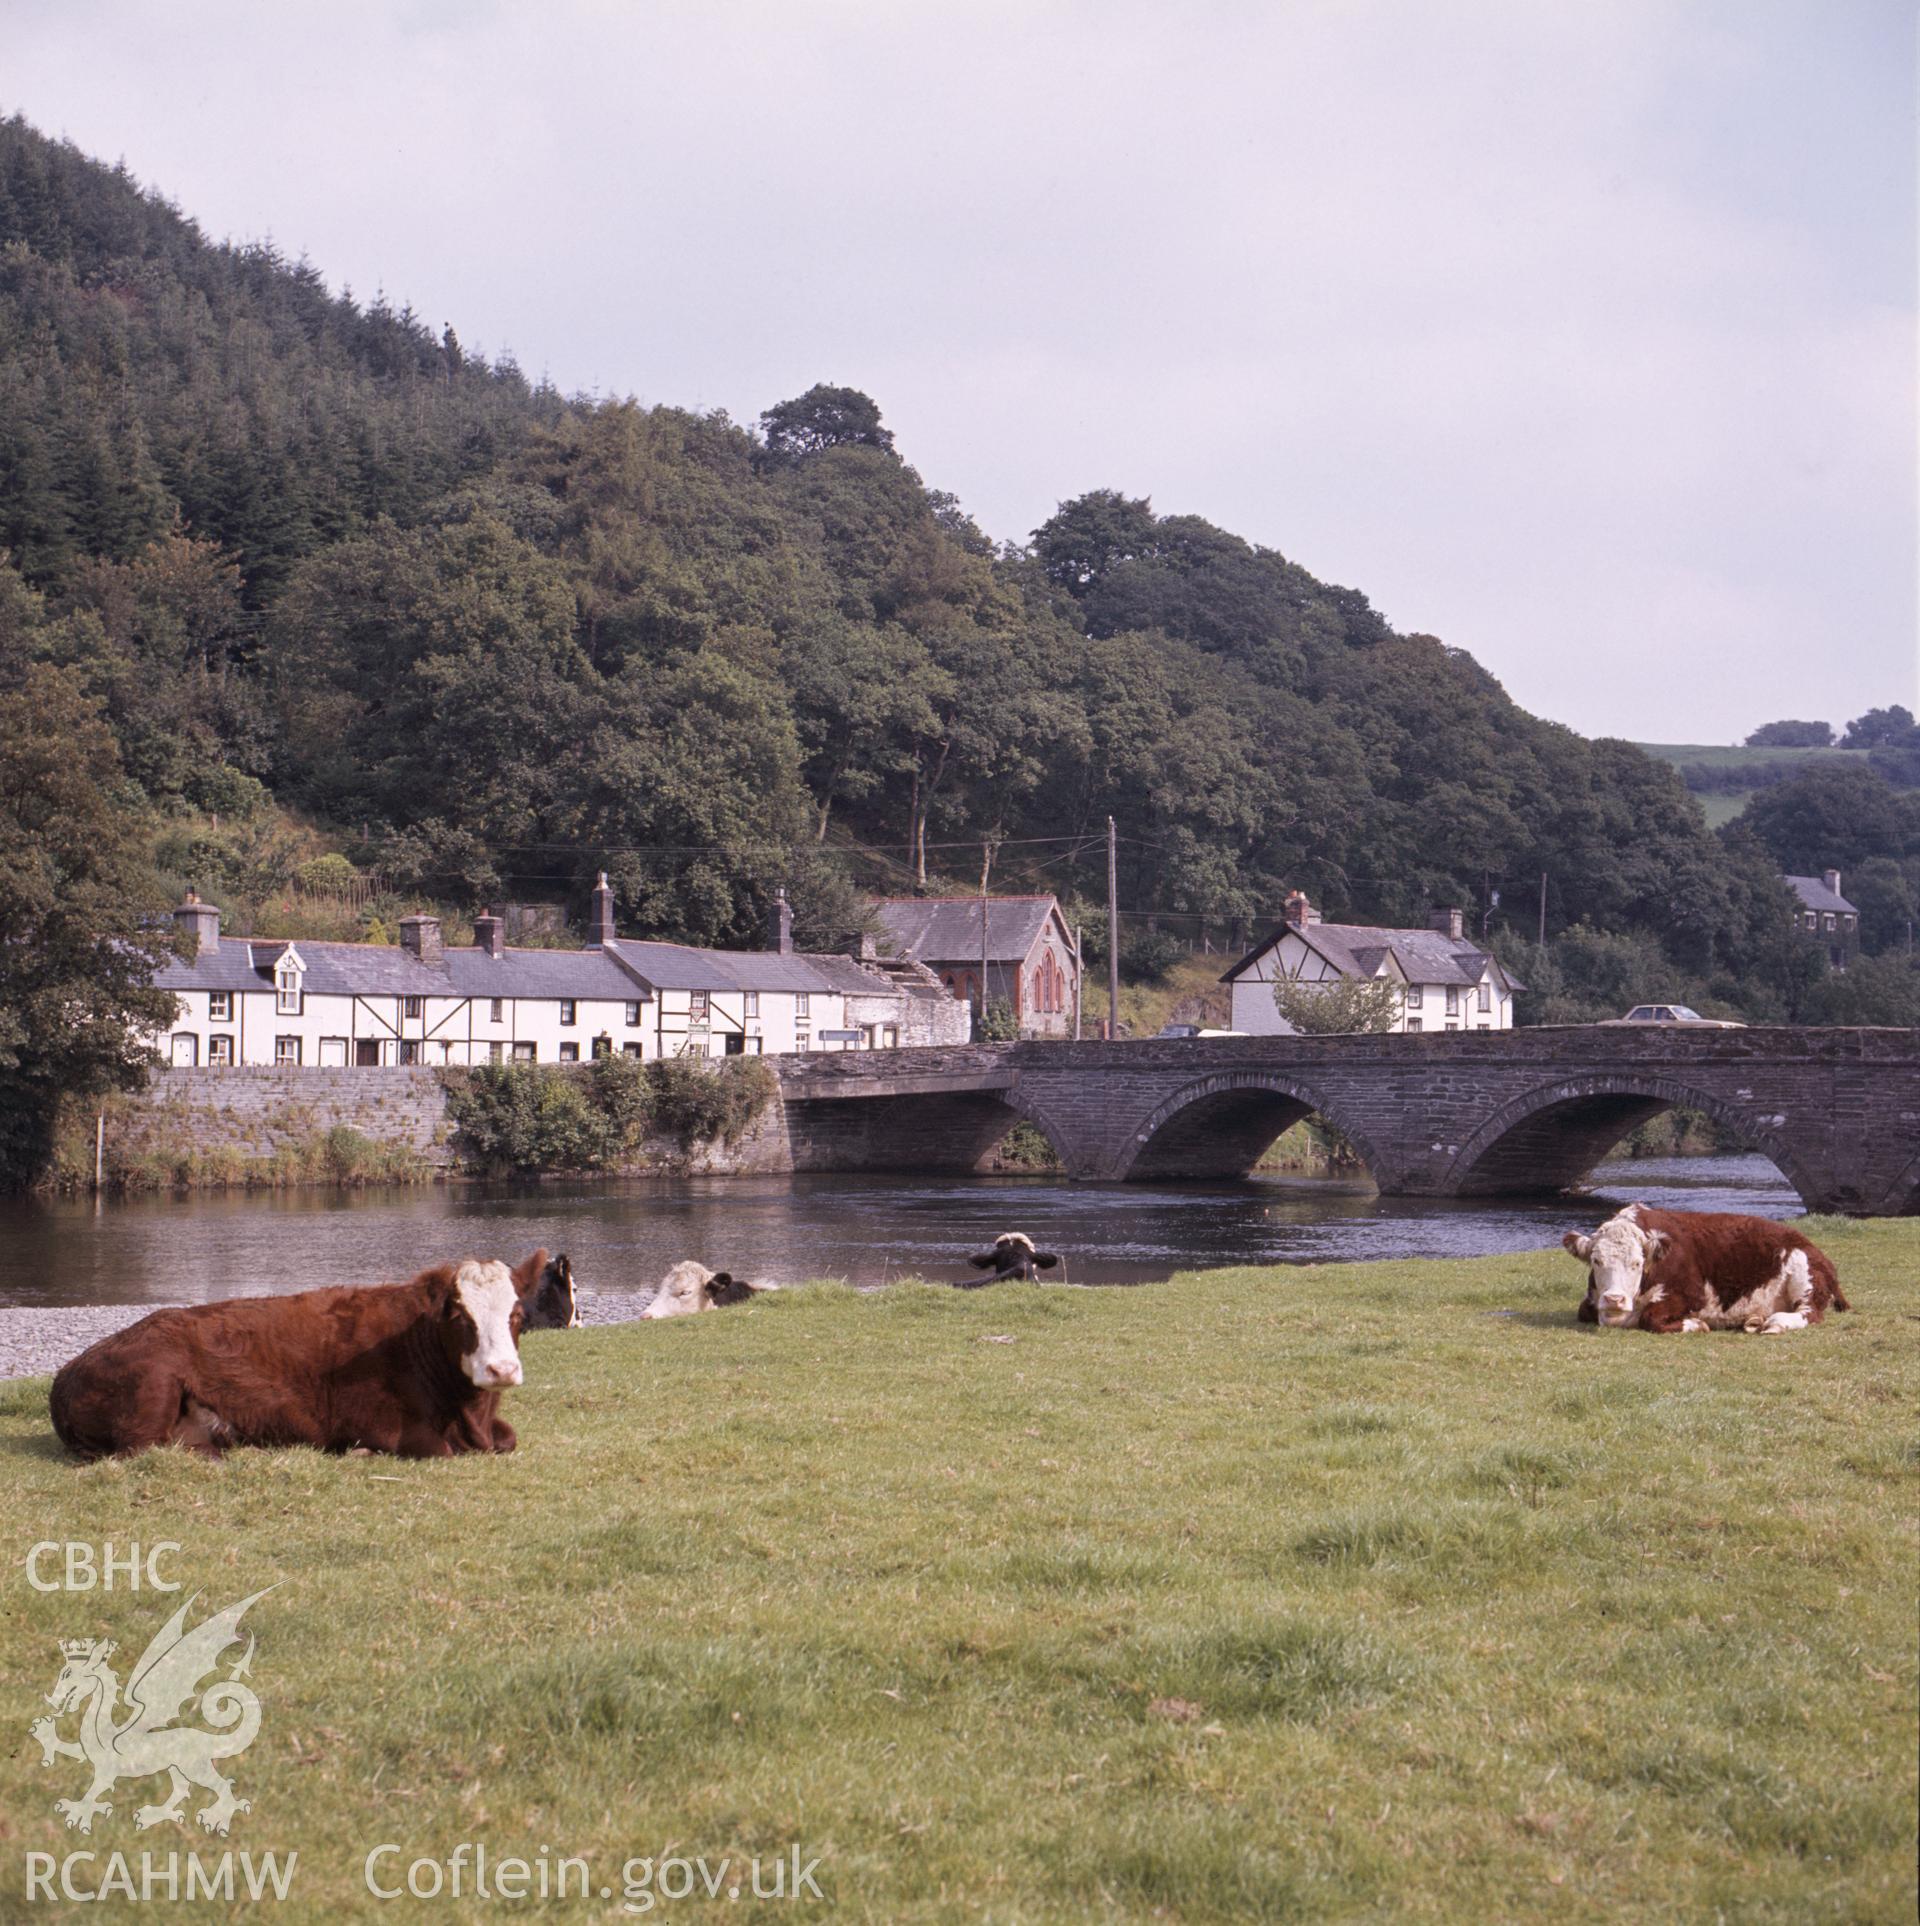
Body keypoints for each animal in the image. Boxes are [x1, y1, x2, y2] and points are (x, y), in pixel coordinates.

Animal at [50, 1248, 546, 1456]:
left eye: (518, 1315)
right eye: (460, 1316)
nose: (501, 1370)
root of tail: (66, 1374)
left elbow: (510, 1438)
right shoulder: (381, 1425)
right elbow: (440, 1450)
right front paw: (361, 1454)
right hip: (154, 1383)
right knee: (142, 1451)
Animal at [1563, 1201, 1848, 1340]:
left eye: (1637, 1263)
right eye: (1596, 1261)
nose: (1614, 1299)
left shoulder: (1691, 1294)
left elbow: (1650, 1319)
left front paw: (1695, 1324)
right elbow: (1583, 1311)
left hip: (1804, 1275)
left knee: (1809, 1314)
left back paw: (1776, 1323)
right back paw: (1754, 1320)